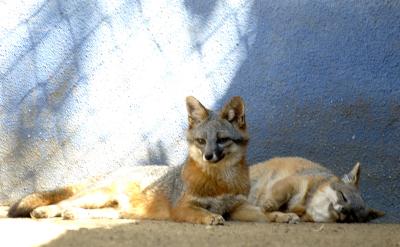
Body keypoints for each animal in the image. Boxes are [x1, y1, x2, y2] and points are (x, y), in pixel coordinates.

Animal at [7, 96, 296, 224]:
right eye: (201, 141)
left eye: (222, 140)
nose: (208, 156)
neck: (220, 183)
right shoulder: (183, 207)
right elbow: (201, 212)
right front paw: (209, 218)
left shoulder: (237, 207)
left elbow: (262, 213)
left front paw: (281, 216)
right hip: (96, 197)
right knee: (62, 202)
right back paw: (45, 212)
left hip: (114, 211)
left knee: (76, 210)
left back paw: (72, 216)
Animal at [250, 157, 384, 223]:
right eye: (343, 196)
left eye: (353, 216)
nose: (344, 210)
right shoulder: (293, 182)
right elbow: (277, 197)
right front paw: (269, 206)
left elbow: (267, 215)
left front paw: (283, 216)